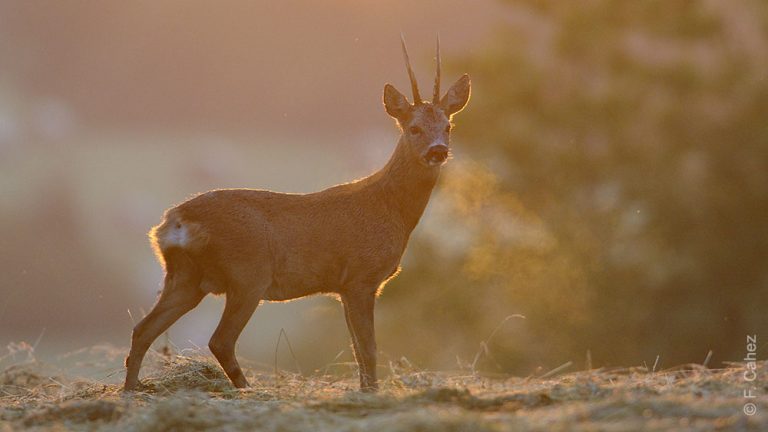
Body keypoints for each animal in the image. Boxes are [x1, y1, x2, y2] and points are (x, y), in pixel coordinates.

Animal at [124, 37, 472, 394]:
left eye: (448, 125)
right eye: (414, 128)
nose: (438, 150)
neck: (390, 208)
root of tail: (172, 222)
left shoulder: (343, 286)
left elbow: (356, 348)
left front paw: (366, 390)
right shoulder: (361, 277)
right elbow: (369, 348)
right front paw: (372, 393)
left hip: (185, 277)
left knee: (142, 329)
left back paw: (131, 390)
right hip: (248, 274)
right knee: (220, 340)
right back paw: (247, 389)